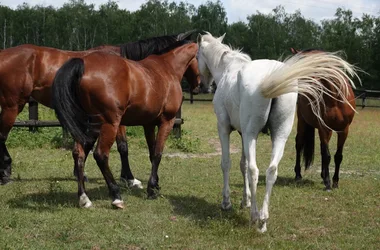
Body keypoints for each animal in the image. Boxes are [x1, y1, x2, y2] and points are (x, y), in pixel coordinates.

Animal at [0, 30, 199, 186]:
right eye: (197, 57)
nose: (198, 86)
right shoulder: (117, 119)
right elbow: (123, 146)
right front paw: (129, 177)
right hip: (12, 105)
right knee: (2, 136)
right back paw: (5, 171)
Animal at [51, 41, 197, 208]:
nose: (199, 85)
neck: (166, 67)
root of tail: (83, 64)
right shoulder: (167, 121)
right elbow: (158, 153)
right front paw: (152, 189)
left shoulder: (148, 124)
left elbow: (151, 153)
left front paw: (155, 185)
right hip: (108, 125)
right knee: (100, 155)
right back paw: (116, 195)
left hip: (89, 126)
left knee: (79, 153)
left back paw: (84, 198)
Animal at [290, 47, 356, 190]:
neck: (336, 98)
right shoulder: (324, 128)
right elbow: (327, 155)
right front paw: (328, 182)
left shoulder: (344, 130)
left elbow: (338, 156)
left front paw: (335, 181)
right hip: (302, 122)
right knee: (299, 143)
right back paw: (298, 175)